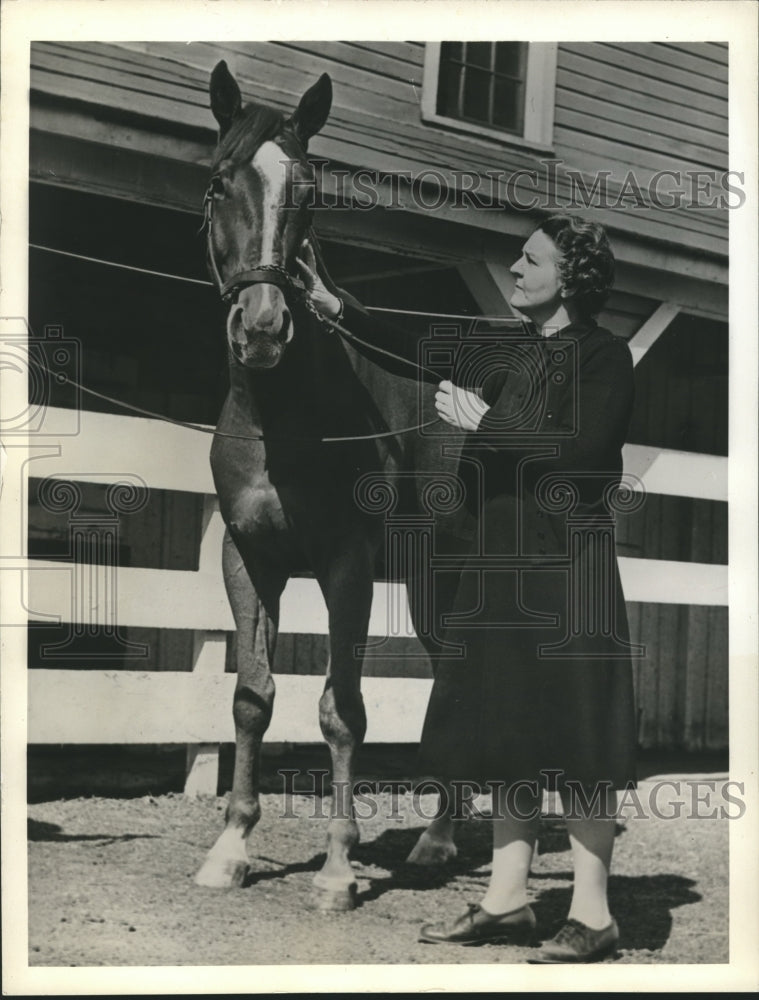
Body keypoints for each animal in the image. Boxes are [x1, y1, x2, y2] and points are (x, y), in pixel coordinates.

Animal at [196, 58, 478, 912]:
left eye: (311, 189)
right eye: (219, 182)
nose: (262, 327)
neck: (284, 421)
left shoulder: (344, 565)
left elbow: (340, 709)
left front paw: (336, 869)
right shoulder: (249, 559)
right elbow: (253, 696)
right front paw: (230, 850)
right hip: (430, 586)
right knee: (453, 683)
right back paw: (437, 840)